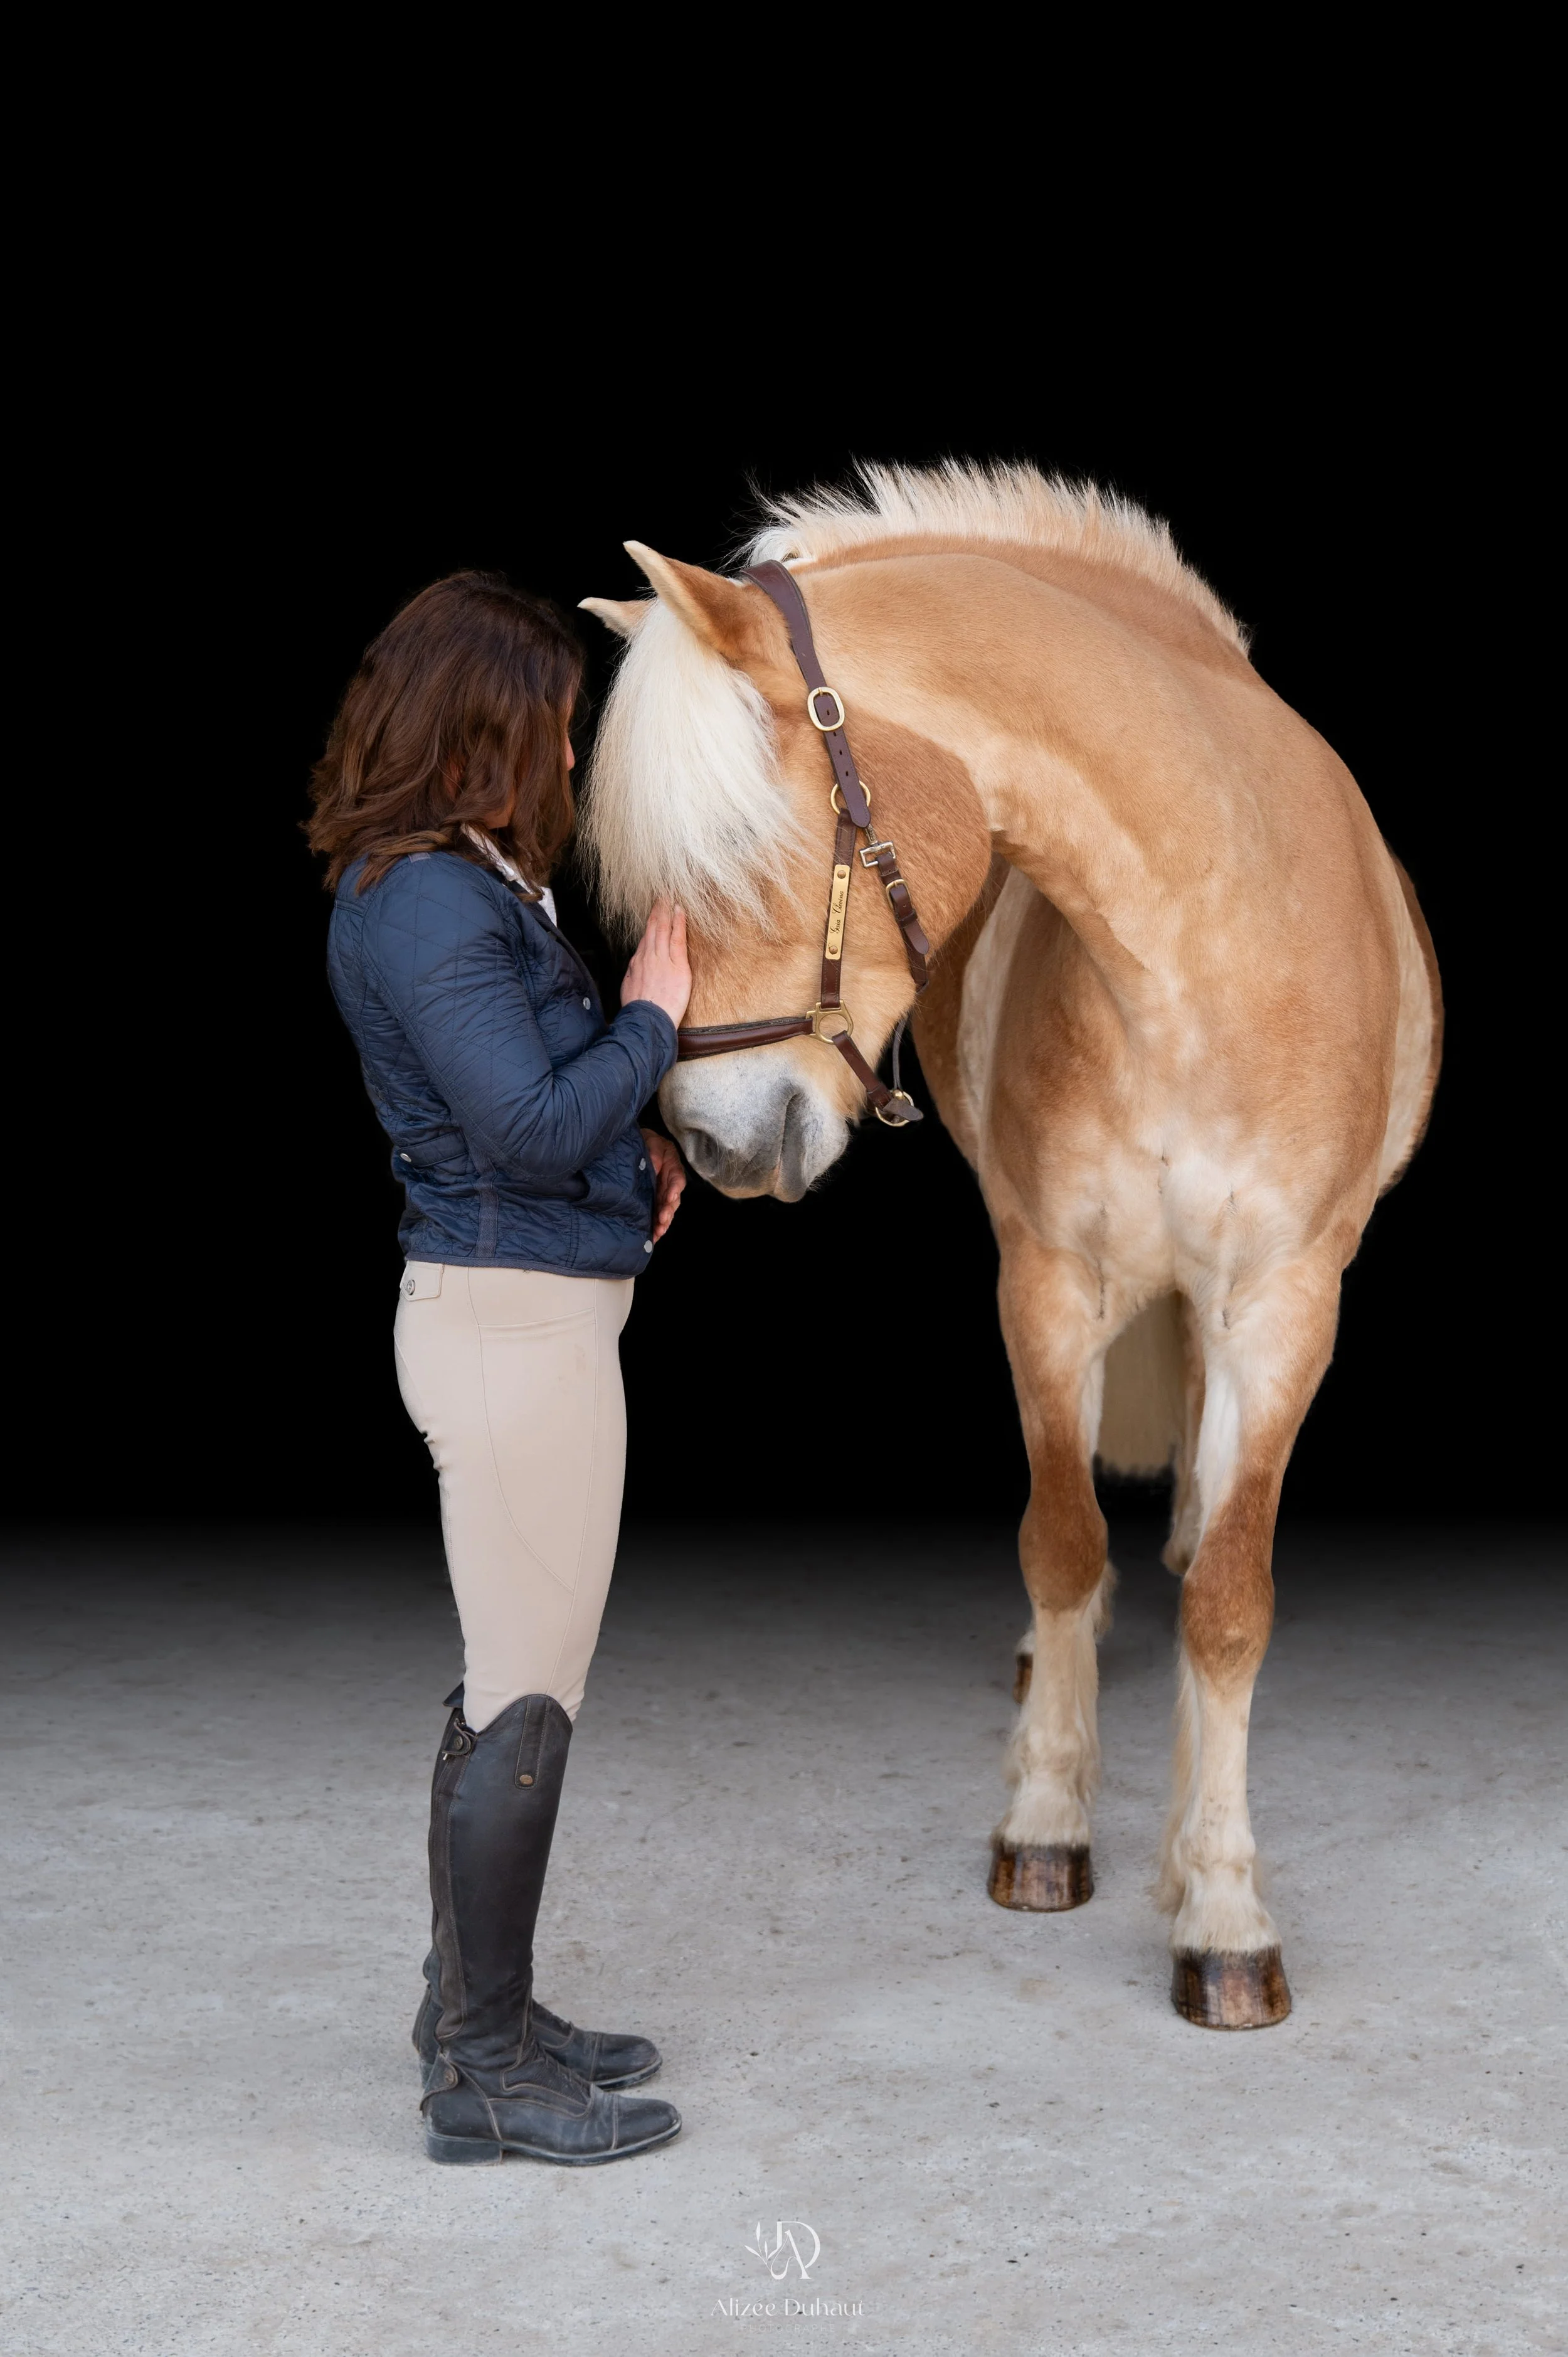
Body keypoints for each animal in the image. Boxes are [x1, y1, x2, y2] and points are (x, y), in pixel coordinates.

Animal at [579, 462, 1441, 2030]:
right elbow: (1057, 1535)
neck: (1197, 948)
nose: (715, 1143)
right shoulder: (1045, 1284)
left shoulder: (1284, 1306)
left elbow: (1230, 1601)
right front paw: (1047, 1823)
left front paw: (1221, 1912)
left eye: (739, 844)